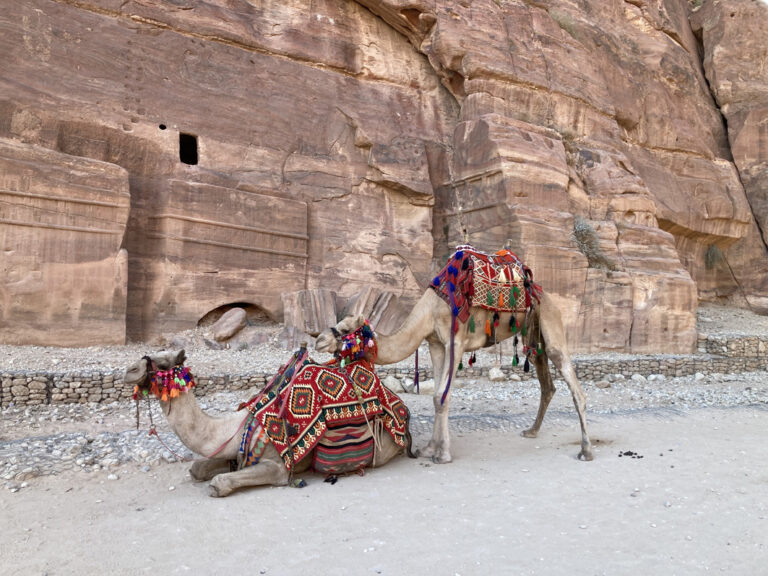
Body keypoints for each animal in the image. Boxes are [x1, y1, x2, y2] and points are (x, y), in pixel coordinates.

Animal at [124, 348, 414, 498]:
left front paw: (217, 484)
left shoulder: (278, 467)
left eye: (163, 363)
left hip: (383, 446)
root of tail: (402, 406)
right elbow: (197, 468)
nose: (129, 371)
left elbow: (219, 482)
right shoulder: (237, 453)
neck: (236, 428)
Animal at [318, 245, 592, 462]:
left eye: (345, 329)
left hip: (551, 322)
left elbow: (442, 395)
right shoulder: (435, 344)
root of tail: (541, 292)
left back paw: (586, 450)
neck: (429, 311)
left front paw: (443, 454)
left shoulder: (455, 343)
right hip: (533, 336)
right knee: (547, 382)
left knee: (573, 383)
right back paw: (532, 431)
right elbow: (435, 397)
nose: (319, 340)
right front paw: (429, 449)